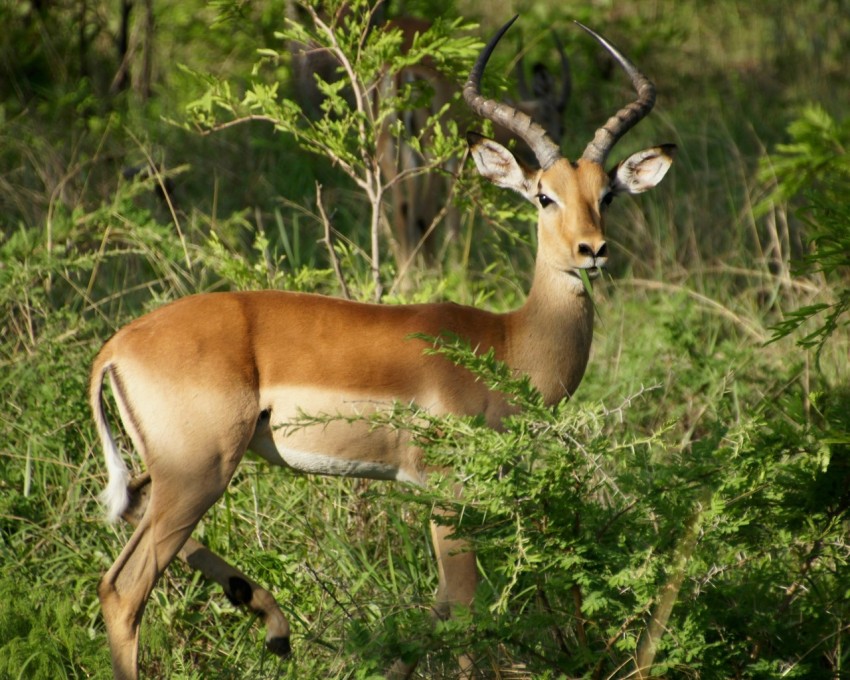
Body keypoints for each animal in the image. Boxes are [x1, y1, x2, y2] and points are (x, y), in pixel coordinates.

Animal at [90, 16, 674, 679]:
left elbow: (436, 612)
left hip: (173, 473)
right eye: (543, 195)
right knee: (123, 589)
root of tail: (119, 344)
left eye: (608, 194)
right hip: (199, 472)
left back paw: (275, 625)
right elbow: (463, 608)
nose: (591, 251)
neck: (510, 342)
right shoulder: (448, 491)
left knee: (131, 511)